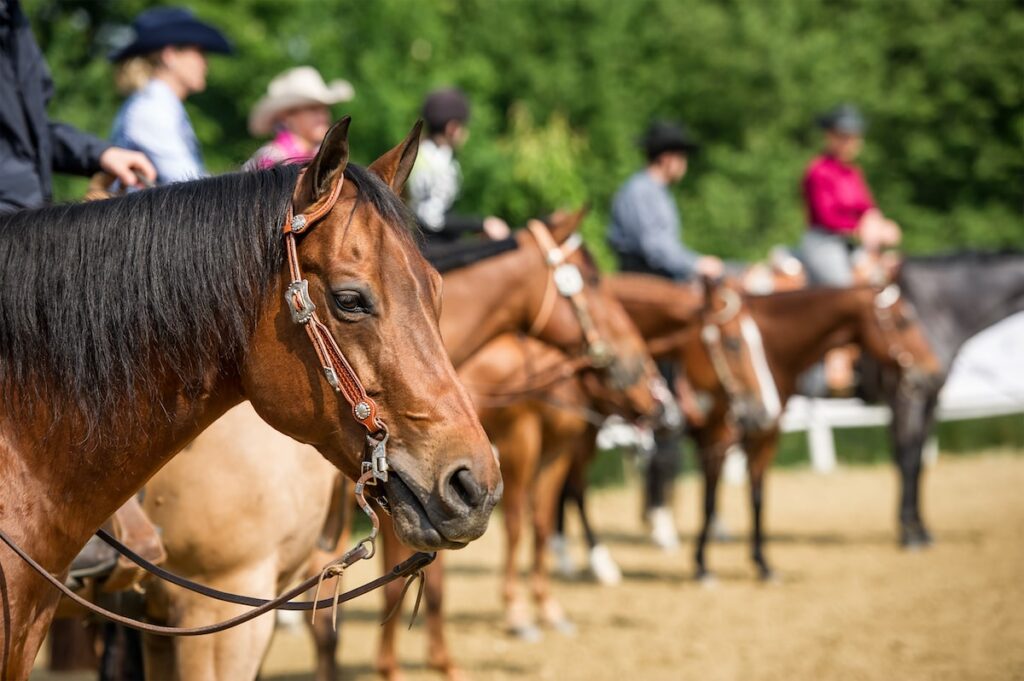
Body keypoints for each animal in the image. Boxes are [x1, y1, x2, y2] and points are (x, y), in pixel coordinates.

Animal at [867, 251, 1024, 547]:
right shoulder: (908, 397)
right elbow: (907, 459)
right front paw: (909, 534)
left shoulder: (931, 399)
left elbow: (918, 461)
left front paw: (921, 529)